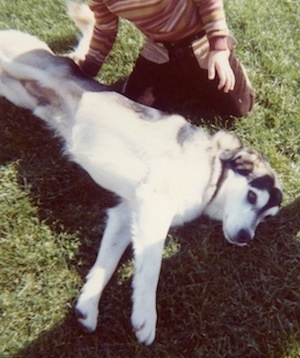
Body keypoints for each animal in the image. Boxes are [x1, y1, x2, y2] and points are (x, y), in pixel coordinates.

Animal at [0, 1, 282, 346]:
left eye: (266, 218)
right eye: (252, 195)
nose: (245, 238)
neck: (210, 177)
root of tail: (67, 61)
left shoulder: (125, 213)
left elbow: (105, 266)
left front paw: (87, 306)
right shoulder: (154, 206)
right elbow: (151, 268)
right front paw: (145, 317)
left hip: (16, 92)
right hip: (17, 65)